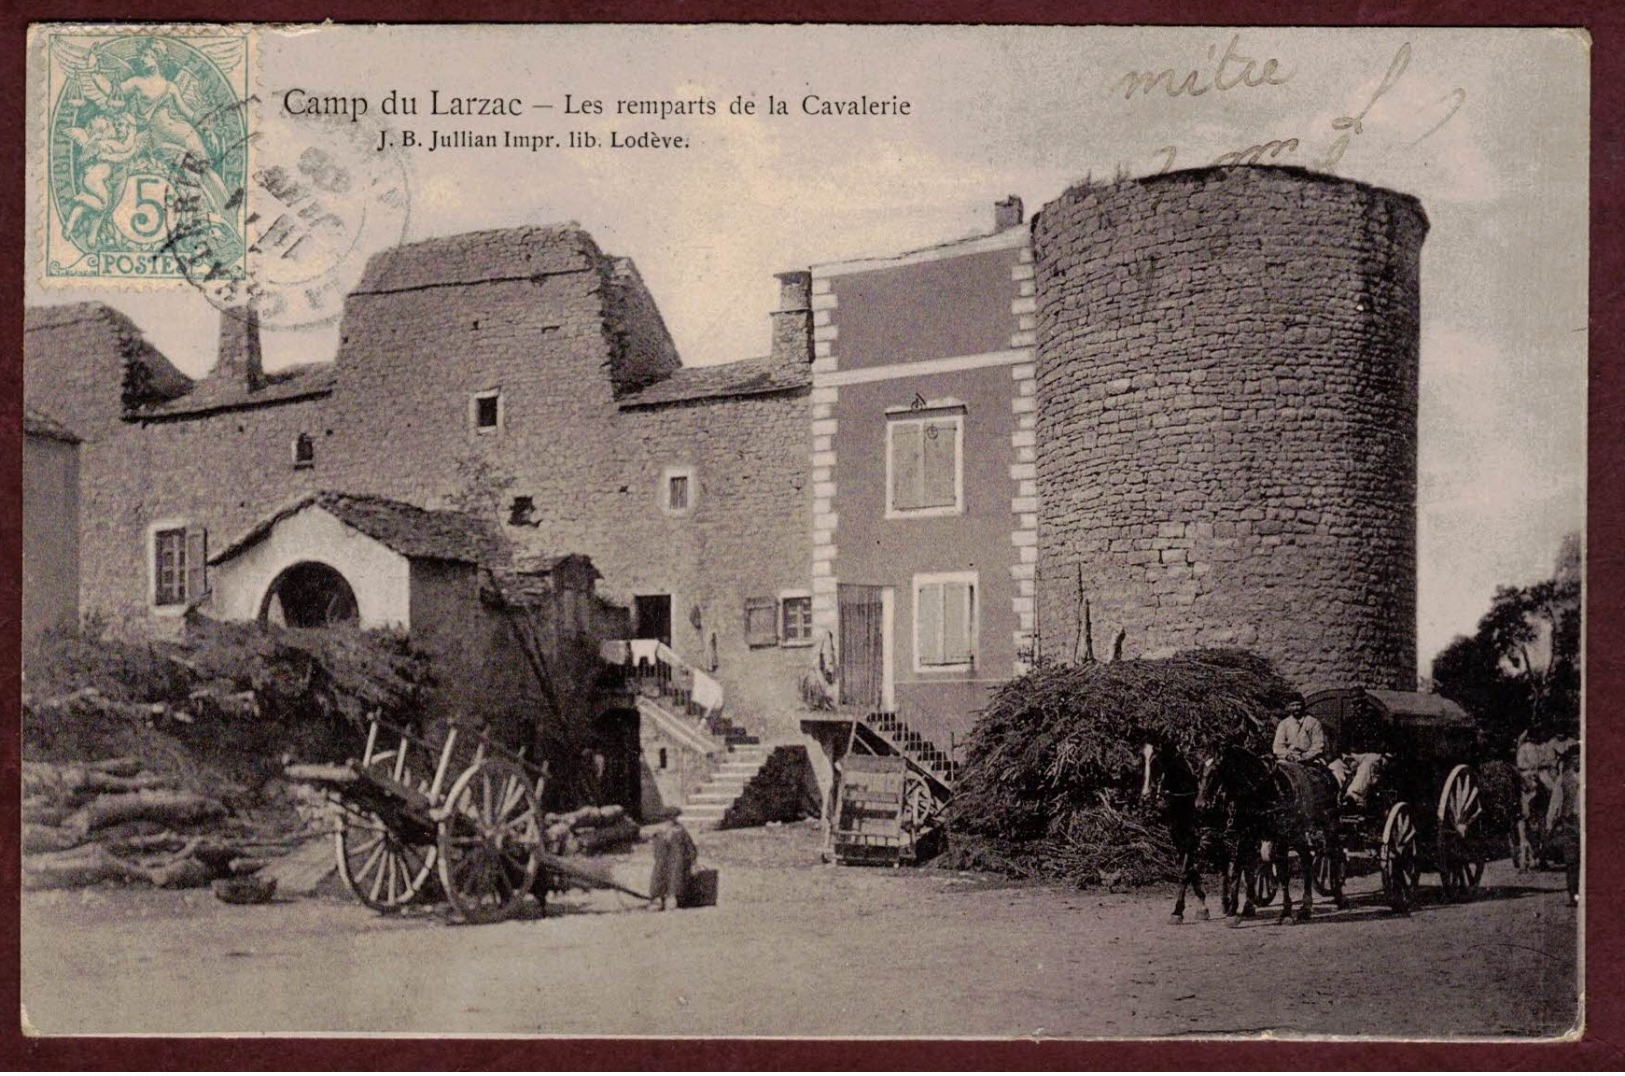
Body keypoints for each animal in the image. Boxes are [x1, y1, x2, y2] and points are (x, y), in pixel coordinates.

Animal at [1137, 741, 1248, 929]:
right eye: (1142, 762)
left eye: (1156, 762)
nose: (1145, 797)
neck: (1186, 799)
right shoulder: (1180, 839)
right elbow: (1192, 872)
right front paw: (1202, 908)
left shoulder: (1192, 840)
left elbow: (1184, 873)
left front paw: (1177, 912)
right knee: (1226, 865)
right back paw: (1226, 903)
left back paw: (1245, 905)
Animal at [1196, 741, 1345, 929]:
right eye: (1200, 768)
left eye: (1216, 769)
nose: (1200, 805)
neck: (1262, 791)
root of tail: (1327, 773)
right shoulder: (1244, 837)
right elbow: (1237, 871)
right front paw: (1232, 913)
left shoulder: (1280, 837)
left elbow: (1282, 873)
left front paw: (1286, 913)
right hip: (1297, 833)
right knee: (1306, 861)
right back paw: (1305, 907)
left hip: (1328, 826)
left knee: (1332, 856)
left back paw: (1339, 897)